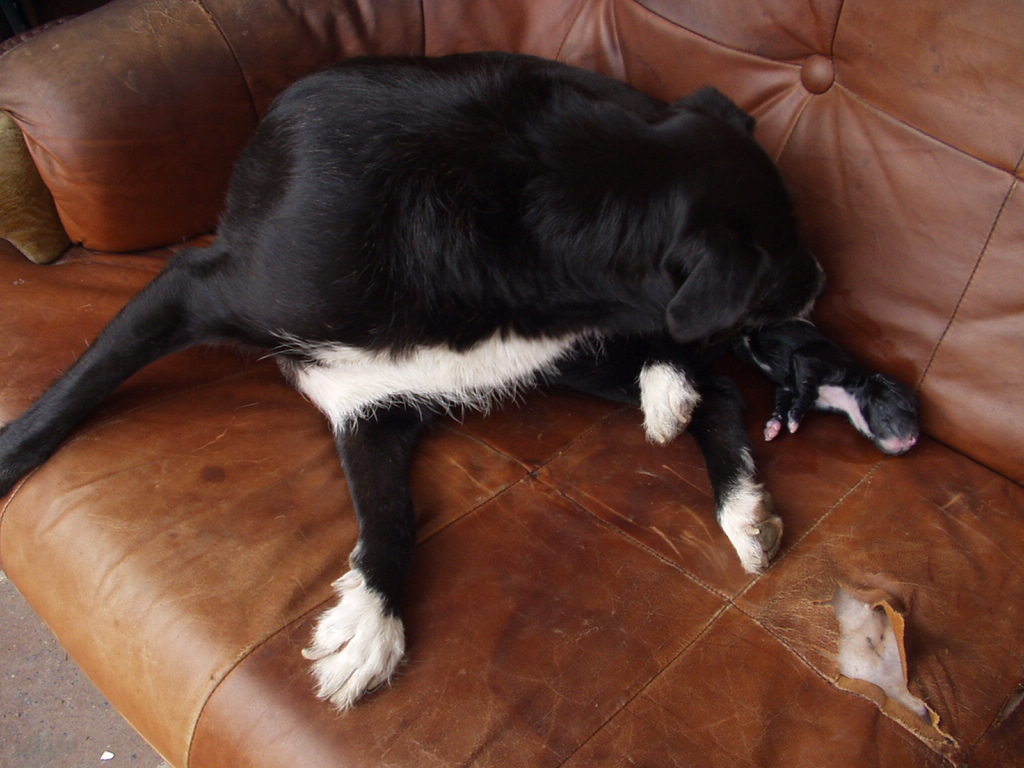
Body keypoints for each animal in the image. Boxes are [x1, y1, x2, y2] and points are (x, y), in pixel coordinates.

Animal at [0, 52, 826, 709]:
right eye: (780, 263)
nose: (822, 278)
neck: (529, 206)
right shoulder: (204, 292)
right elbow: (85, 380)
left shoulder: (377, 406)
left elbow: (393, 515)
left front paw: (371, 618)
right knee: (710, 381)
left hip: (557, 354)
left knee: (713, 383)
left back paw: (732, 495)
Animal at [735, 318, 920, 454]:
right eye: (908, 404)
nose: (914, 440)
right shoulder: (810, 360)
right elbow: (808, 390)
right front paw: (794, 419)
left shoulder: (786, 388)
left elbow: (782, 401)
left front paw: (774, 425)